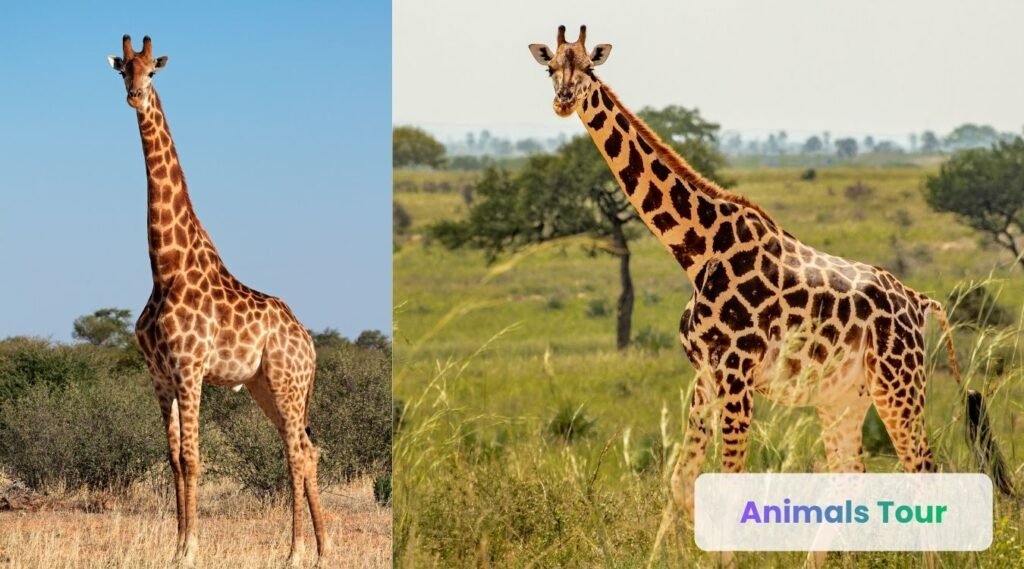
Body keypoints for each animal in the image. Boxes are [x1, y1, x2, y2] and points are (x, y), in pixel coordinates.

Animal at [107, 35, 328, 568]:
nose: (134, 96)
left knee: (296, 451)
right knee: (306, 449)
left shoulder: (190, 368)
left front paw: (190, 548)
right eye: (123, 69)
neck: (165, 267)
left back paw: (295, 551)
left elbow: (192, 457)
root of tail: (309, 343)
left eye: (153, 71)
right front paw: (175, 545)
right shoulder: (159, 374)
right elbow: (172, 458)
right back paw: (323, 548)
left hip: (287, 383)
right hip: (266, 387)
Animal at [529, 23, 1014, 559]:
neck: (697, 249)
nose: (564, 101)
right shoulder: (706, 375)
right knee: (851, 474)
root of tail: (920, 301)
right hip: (845, 396)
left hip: (899, 382)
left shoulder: (736, 372)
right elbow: (679, 481)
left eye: (588, 69)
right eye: (551, 69)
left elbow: (725, 483)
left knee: (923, 469)